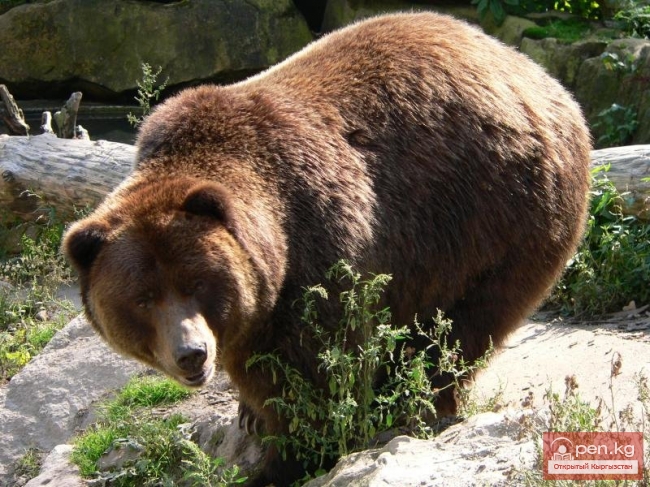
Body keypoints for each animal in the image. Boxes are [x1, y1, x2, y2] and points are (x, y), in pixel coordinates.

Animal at [63, 11, 592, 486]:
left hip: (500, 214)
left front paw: (284, 460)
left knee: (462, 328)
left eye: (197, 283)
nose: (191, 354)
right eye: (143, 298)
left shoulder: (319, 247)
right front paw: (250, 413)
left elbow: (318, 376)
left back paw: (416, 402)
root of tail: (537, 75)